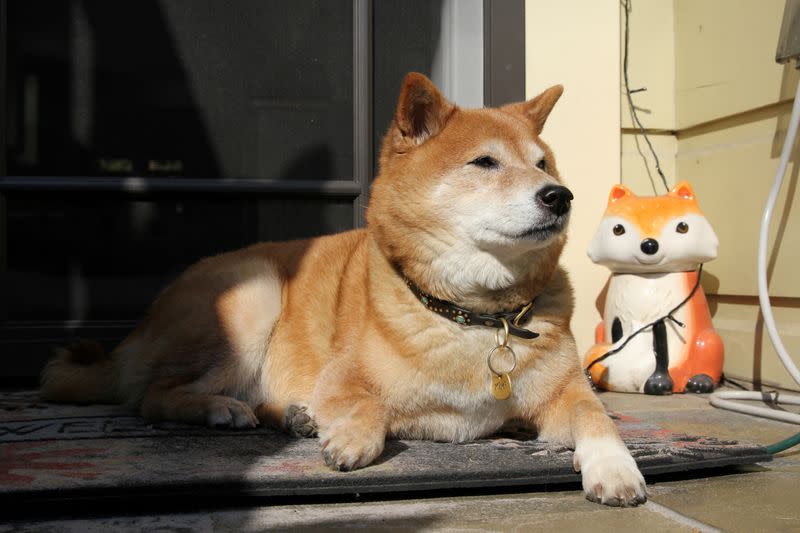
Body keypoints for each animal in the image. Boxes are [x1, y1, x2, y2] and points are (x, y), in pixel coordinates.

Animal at [42, 72, 644, 504]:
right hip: (254, 298)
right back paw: (222, 408)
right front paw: (353, 436)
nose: (559, 195)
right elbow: (371, 404)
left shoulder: (567, 391)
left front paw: (615, 467)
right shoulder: (344, 377)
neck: (472, 315)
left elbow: (597, 417)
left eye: (543, 164)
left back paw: (294, 416)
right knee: (152, 396)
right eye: (485, 162)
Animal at [584, 181, 720, 392]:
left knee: (708, 355)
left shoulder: (666, 325)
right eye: (618, 229)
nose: (649, 244)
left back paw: (700, 381)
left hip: (708, 341)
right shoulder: (614, 323)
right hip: (599, 328)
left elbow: (664, 355)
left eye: (683, 227)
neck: (648, 278)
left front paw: (660, 382)